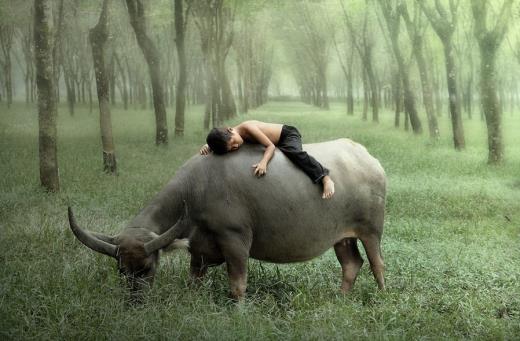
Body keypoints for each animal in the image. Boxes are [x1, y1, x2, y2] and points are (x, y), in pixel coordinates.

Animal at [68, 137, 386, 298]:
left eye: (147, 268)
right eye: (122, 270)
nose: (134, 301)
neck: (197, 190)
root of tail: (369, 158)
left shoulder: (235, 241)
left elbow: (237, 286)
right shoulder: (198, 251)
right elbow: (194, 282)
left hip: (371, 231)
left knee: (376, 264)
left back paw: (382, 297)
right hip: (342, 237)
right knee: (351, 264)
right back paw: (340, 298)